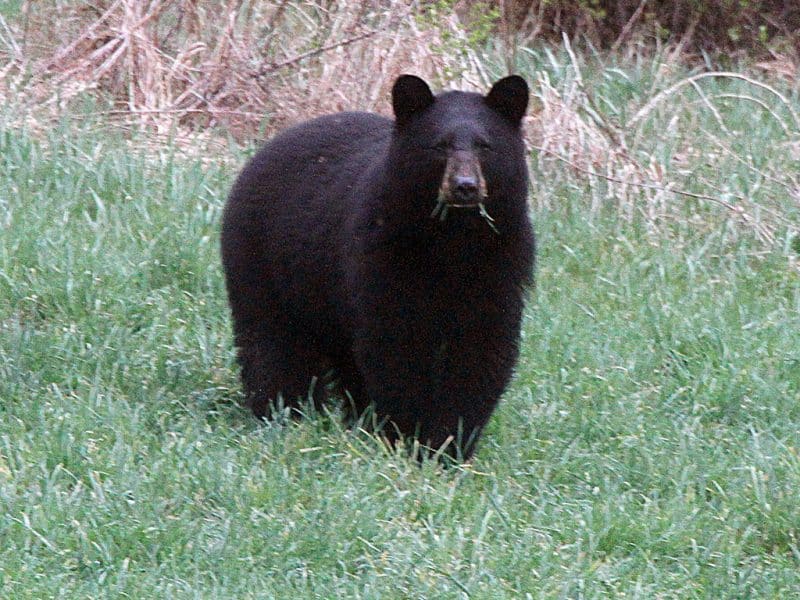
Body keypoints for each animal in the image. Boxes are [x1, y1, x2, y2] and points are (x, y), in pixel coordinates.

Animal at [221, 74, 535, 461]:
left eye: (485, 146)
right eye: (440, 146)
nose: (465, 187)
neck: (452, 241)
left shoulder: (501, 265)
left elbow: (481, 352)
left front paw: (449, 446)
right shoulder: (383, 257)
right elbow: (394, 346)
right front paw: (405, 436)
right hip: (264, 260)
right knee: (271, 342)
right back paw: (283, 411)